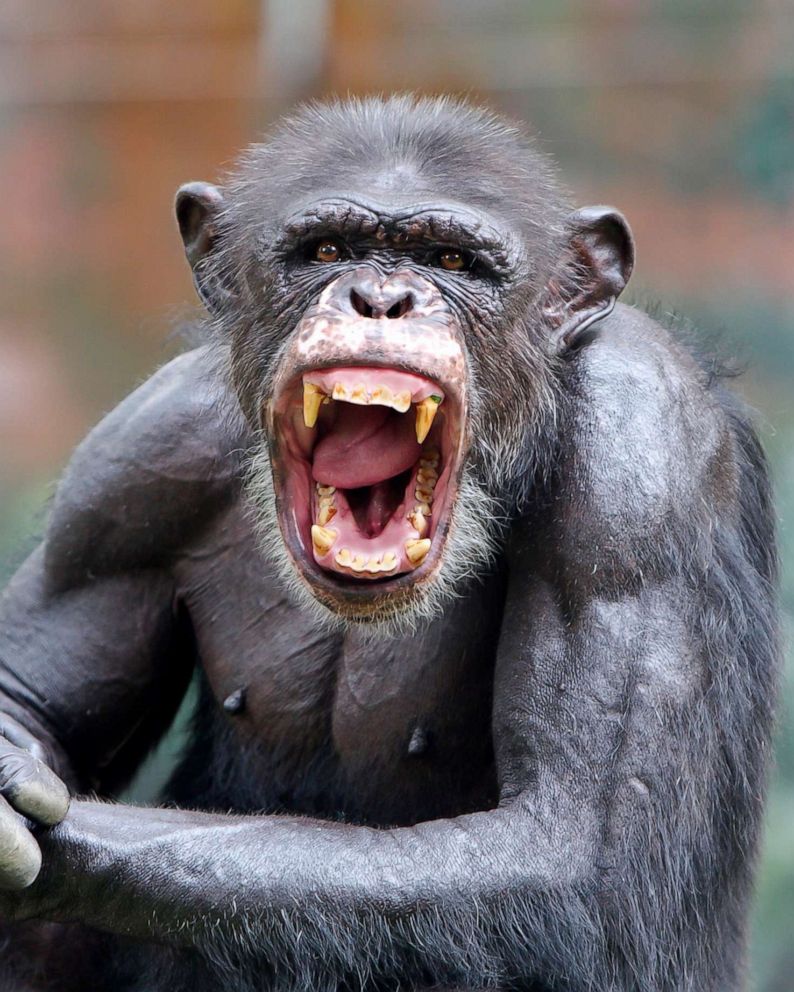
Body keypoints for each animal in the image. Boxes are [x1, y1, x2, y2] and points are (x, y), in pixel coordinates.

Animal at [0, 95, 780, 992]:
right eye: (326, 250)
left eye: (452, 259)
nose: (381, 298)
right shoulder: (129, 474)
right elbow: (33, 699)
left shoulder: (641, 461)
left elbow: (575, 841)